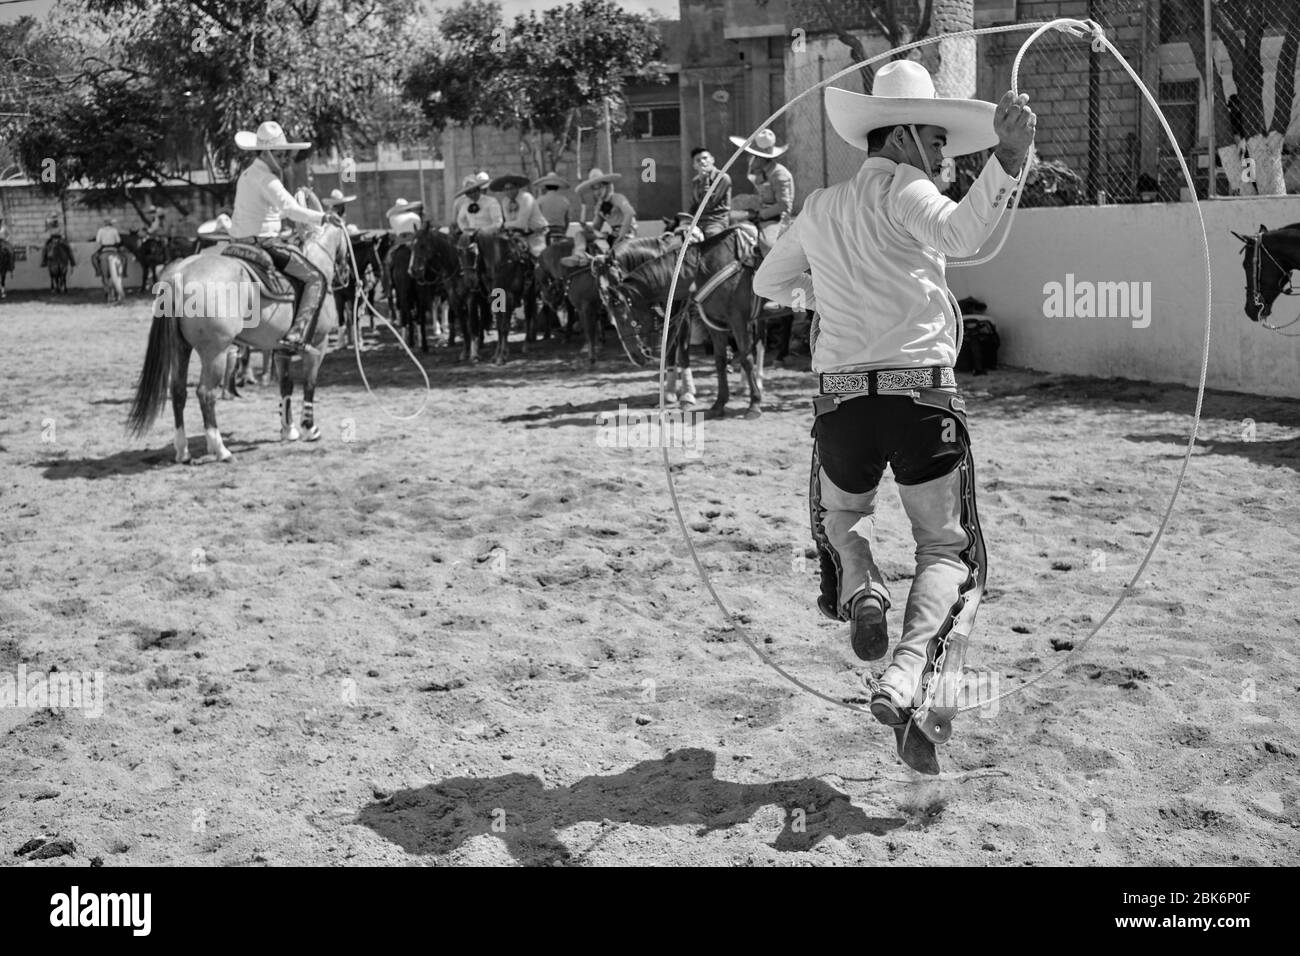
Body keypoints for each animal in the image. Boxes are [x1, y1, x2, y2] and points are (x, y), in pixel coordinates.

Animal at [126, 191, 348, 463]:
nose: (346, 271)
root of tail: (178, 275)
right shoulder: (318, 343)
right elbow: (309, 384)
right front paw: (309, 428)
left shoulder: (281, 349)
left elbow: (286, 385)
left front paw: (289, 429)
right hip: (215, 352)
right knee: (205, 394)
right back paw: (221, 449)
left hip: (181, 348)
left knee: (178, 391)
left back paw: (183, 451)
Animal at [598, 227, 759, 418]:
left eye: (624, 319)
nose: (636, 357)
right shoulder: (705, 321)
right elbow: (671, 353)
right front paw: (670, 393)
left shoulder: (692, 319)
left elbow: (682, 353)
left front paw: (687, 394)